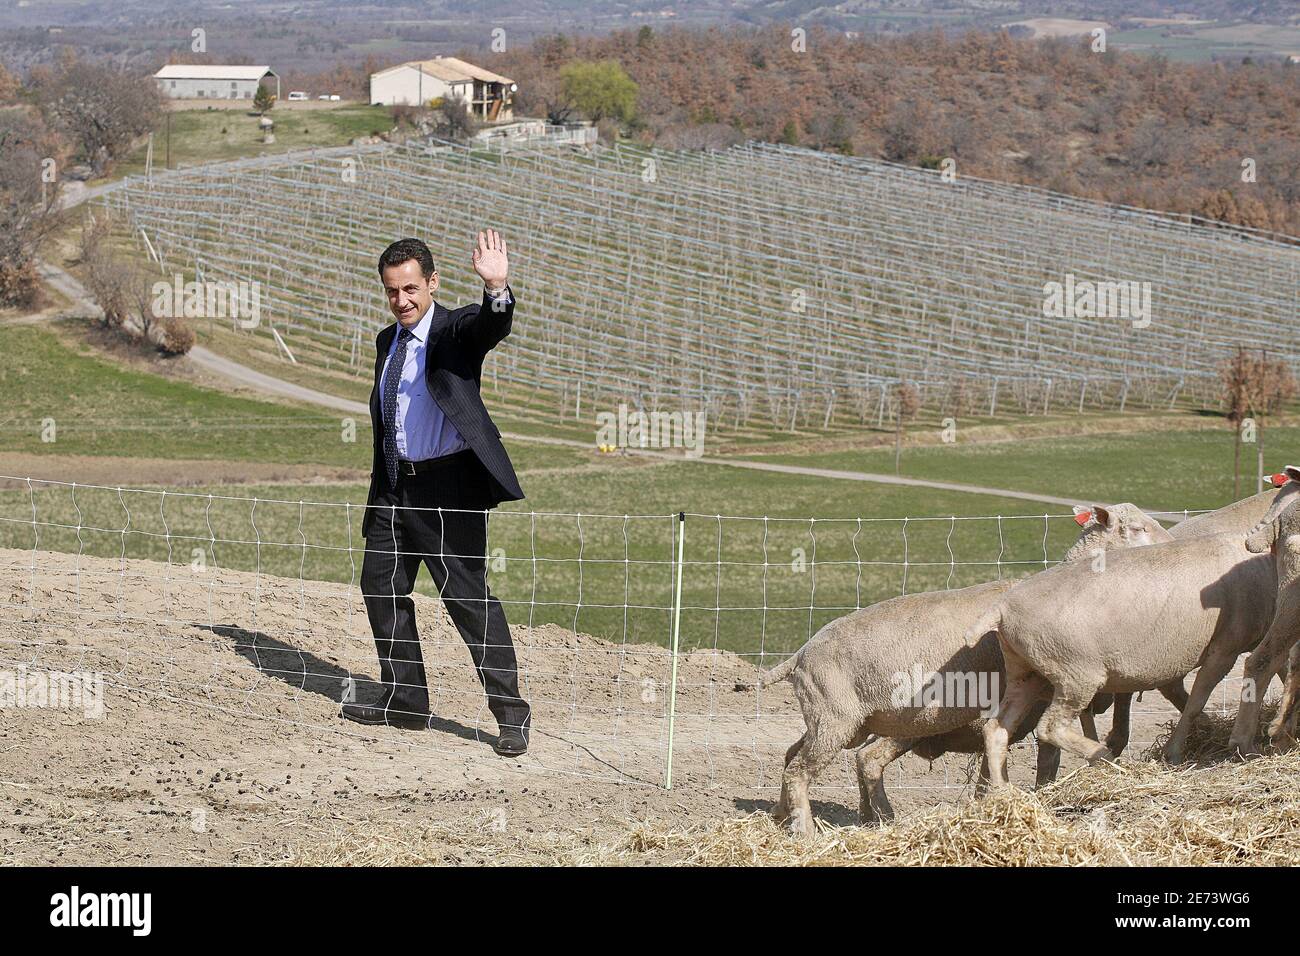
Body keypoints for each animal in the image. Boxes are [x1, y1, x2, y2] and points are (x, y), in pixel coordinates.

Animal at [759, 504, 1175, 832]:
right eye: (1136, 528)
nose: (1172, 545)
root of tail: (799, 656)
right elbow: (1043, 760)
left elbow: (998, 766)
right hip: (846, 719)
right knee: (815, 768)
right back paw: (810, 830)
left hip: (838, 719)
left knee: (794, 755)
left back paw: (789, 815)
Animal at [977, 465, 1300, 785]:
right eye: (1137, 528)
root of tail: (1001, 610)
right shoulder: (1225, 645)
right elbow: (1198, 701)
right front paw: (1175, 751)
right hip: (1076, 673)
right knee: (1049, 727)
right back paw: (1103, 757)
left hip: (1027, 673)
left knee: (997, 728)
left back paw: (1003, 791)